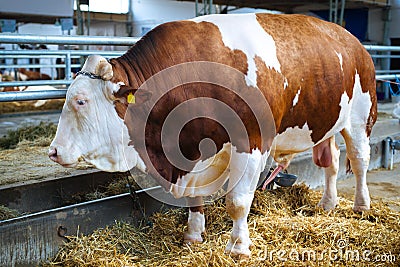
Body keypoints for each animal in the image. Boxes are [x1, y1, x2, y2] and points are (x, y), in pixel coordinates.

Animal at [48, 14, 376, 258]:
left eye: (81, 101)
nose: (53, 151)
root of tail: (353, 41)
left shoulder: (251, 143)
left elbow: (238, 201)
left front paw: (238, 247)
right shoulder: (191, 153)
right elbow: (195, 198)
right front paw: (193, 234)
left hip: (360, 118)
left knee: (359, 160)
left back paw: (361, 206)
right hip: (326, 121)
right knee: (331, 161)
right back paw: (328, 203)